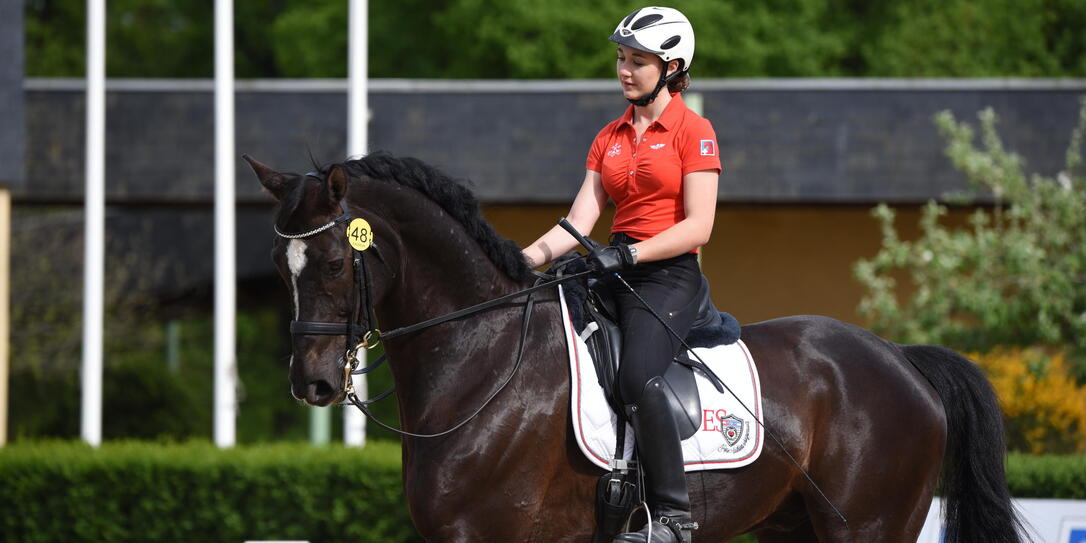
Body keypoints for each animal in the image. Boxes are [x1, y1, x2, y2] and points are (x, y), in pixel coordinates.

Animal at [246, 153, 1025, 543]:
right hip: (792, 527)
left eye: (336, 264)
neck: (482, 359)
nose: (312, 383)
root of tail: (900, 357)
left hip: (868, 528)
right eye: (281, 266)